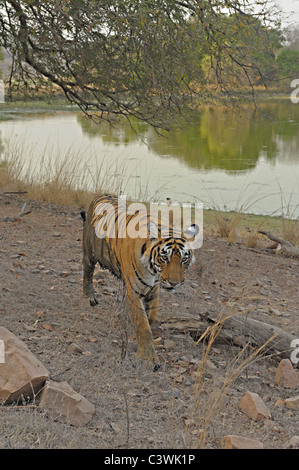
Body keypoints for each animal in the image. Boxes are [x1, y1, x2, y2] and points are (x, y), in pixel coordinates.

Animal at [80, 194, 197, 368]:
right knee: (87, 273)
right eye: (165, 258)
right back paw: (89, 297)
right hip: (89, 253)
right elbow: (143, 326)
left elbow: (152, 314)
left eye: (184, 259)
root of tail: (99, 194)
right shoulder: (135, 291)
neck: (153, 271)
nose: (174, 283)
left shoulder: (154, 288)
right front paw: (148, 358)